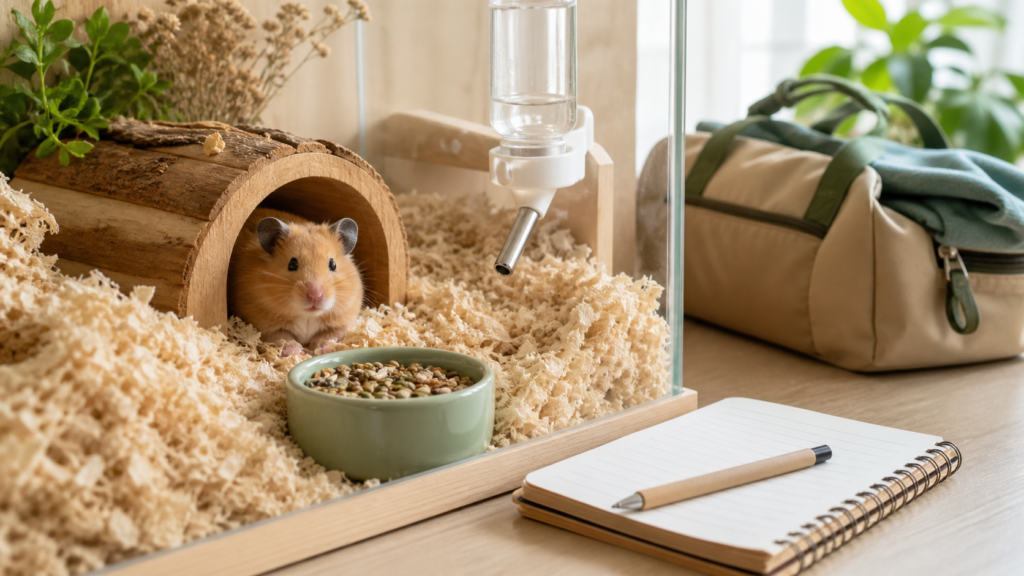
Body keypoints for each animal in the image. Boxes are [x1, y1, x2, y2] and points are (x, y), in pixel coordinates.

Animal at [228, 208, 364, 357]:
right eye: (292, 264)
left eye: (333, 265)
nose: (315, 296)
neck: (307, 315)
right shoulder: (263, 325)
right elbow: (284, 339)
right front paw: (299, 353)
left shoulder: (342, 321)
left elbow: (328, 336)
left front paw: (322, 350)